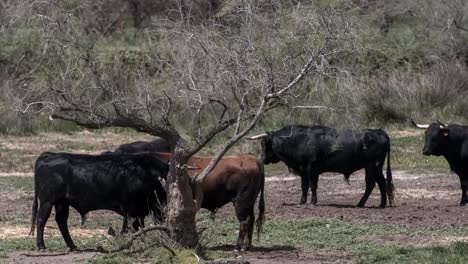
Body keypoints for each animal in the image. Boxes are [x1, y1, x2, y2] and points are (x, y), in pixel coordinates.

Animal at [29, 152, 168, 251]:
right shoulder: (133, 209)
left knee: (61, 220)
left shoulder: (140, 210)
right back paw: (41, 246)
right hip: (47, 200)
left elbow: (138, 227)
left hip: (62, 202)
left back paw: (72, 246)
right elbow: (132, 227)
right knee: (41, 219)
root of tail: (48, 155)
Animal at [247, 125, 394, 208]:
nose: (262, 159)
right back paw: (381, 204)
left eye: (264, 144)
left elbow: (312, 186)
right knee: (381, 182)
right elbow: (304, 186)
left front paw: (313, 202)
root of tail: (380, 132)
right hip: (376, 168)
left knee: (371, 184)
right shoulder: (303, 170)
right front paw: (302, 201)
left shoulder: (312, 169)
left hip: (372, 166)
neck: (298, 140)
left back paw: (361, 204)